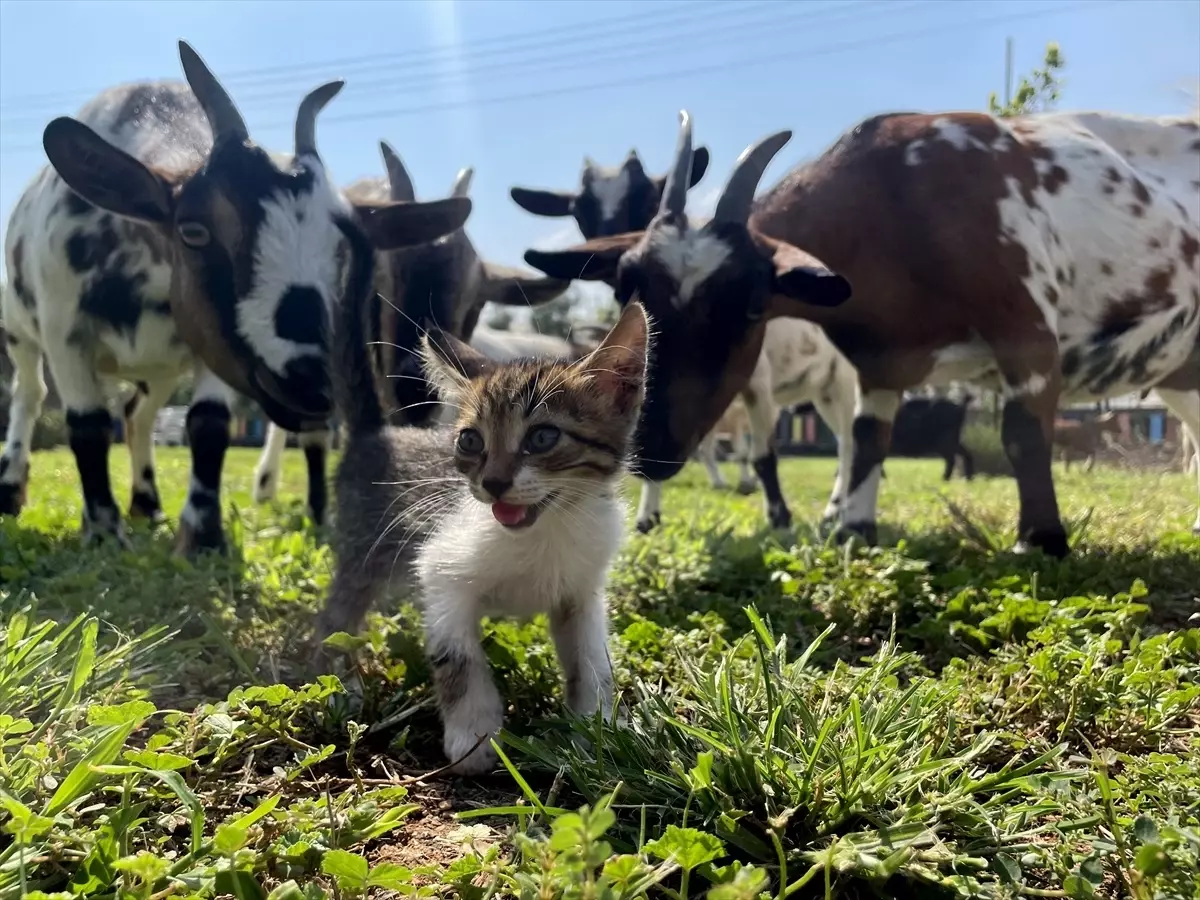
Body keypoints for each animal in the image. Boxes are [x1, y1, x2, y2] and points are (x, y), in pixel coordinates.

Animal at [0, 44, 468, 556]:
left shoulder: (216, 347)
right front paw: (104, 533)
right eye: (193, 231)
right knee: (29, 396)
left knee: (139, 415)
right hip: (21, 333)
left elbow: (209, 424)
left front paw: (202, 536)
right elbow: (87, 426)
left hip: (160, 368)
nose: (313, 382)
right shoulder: (65, 330)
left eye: (348, 251)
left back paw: (147, 505)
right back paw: (12, 490)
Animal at [314, 280, 652, 777]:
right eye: (470, 441)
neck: (544, 531)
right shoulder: (441, 569)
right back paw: (340, 685)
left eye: (543, 437)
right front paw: (473, 737)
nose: (492, 483)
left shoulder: (582, 589)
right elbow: (457, 655)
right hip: (362, 554)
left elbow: (592, 659)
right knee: (334, 619)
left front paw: (597, 728)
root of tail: (375, 434)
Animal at [525, 109, 1200, 554]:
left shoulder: (1025, 330)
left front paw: (1041, 540)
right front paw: (855, 529)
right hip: (1181, 369)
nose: (654, 444)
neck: (901, 197)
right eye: (627, 291)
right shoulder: (879, 363)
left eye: (753, 305)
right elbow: (870, 438)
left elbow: (1022, 435)